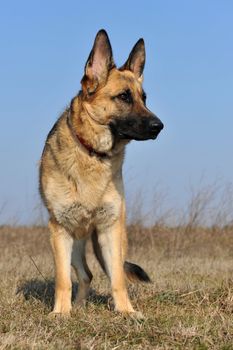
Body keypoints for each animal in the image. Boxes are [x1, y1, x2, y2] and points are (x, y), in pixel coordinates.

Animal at [39, 29, 164, 318]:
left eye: (144, 98)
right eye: (124, 97)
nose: (159, 126)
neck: (92, 153)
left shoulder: (110, 229)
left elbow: (118, 278)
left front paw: (127, 312)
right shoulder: (60, 230)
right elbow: (63, 279)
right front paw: (60, 314)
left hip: (111, 239)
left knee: (103, 273)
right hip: (75, 243)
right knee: (84, 275)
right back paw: (77, 308)